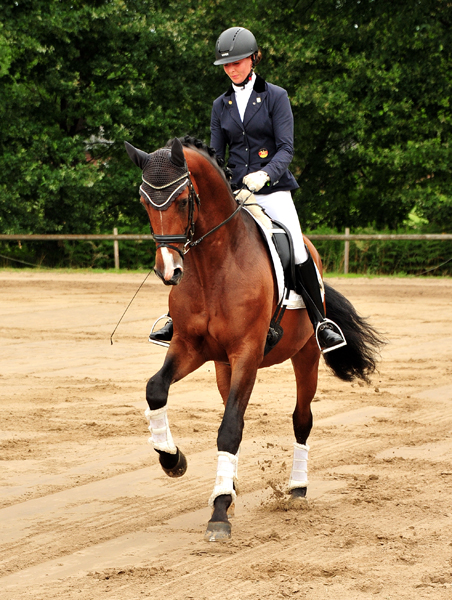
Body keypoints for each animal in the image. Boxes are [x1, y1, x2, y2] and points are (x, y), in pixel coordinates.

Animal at [125, 138, 384, 540]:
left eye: (183, 200)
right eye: (144, 202)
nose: (169, 271)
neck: (212, 265)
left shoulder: (247, 352)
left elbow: (230, 427)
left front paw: (219, 512)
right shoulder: (190, 347)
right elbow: (156, 389)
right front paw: (172, 459)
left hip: (306, 355)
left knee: (301, 419)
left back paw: (296, 489)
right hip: (222, 366)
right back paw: (229, 484)